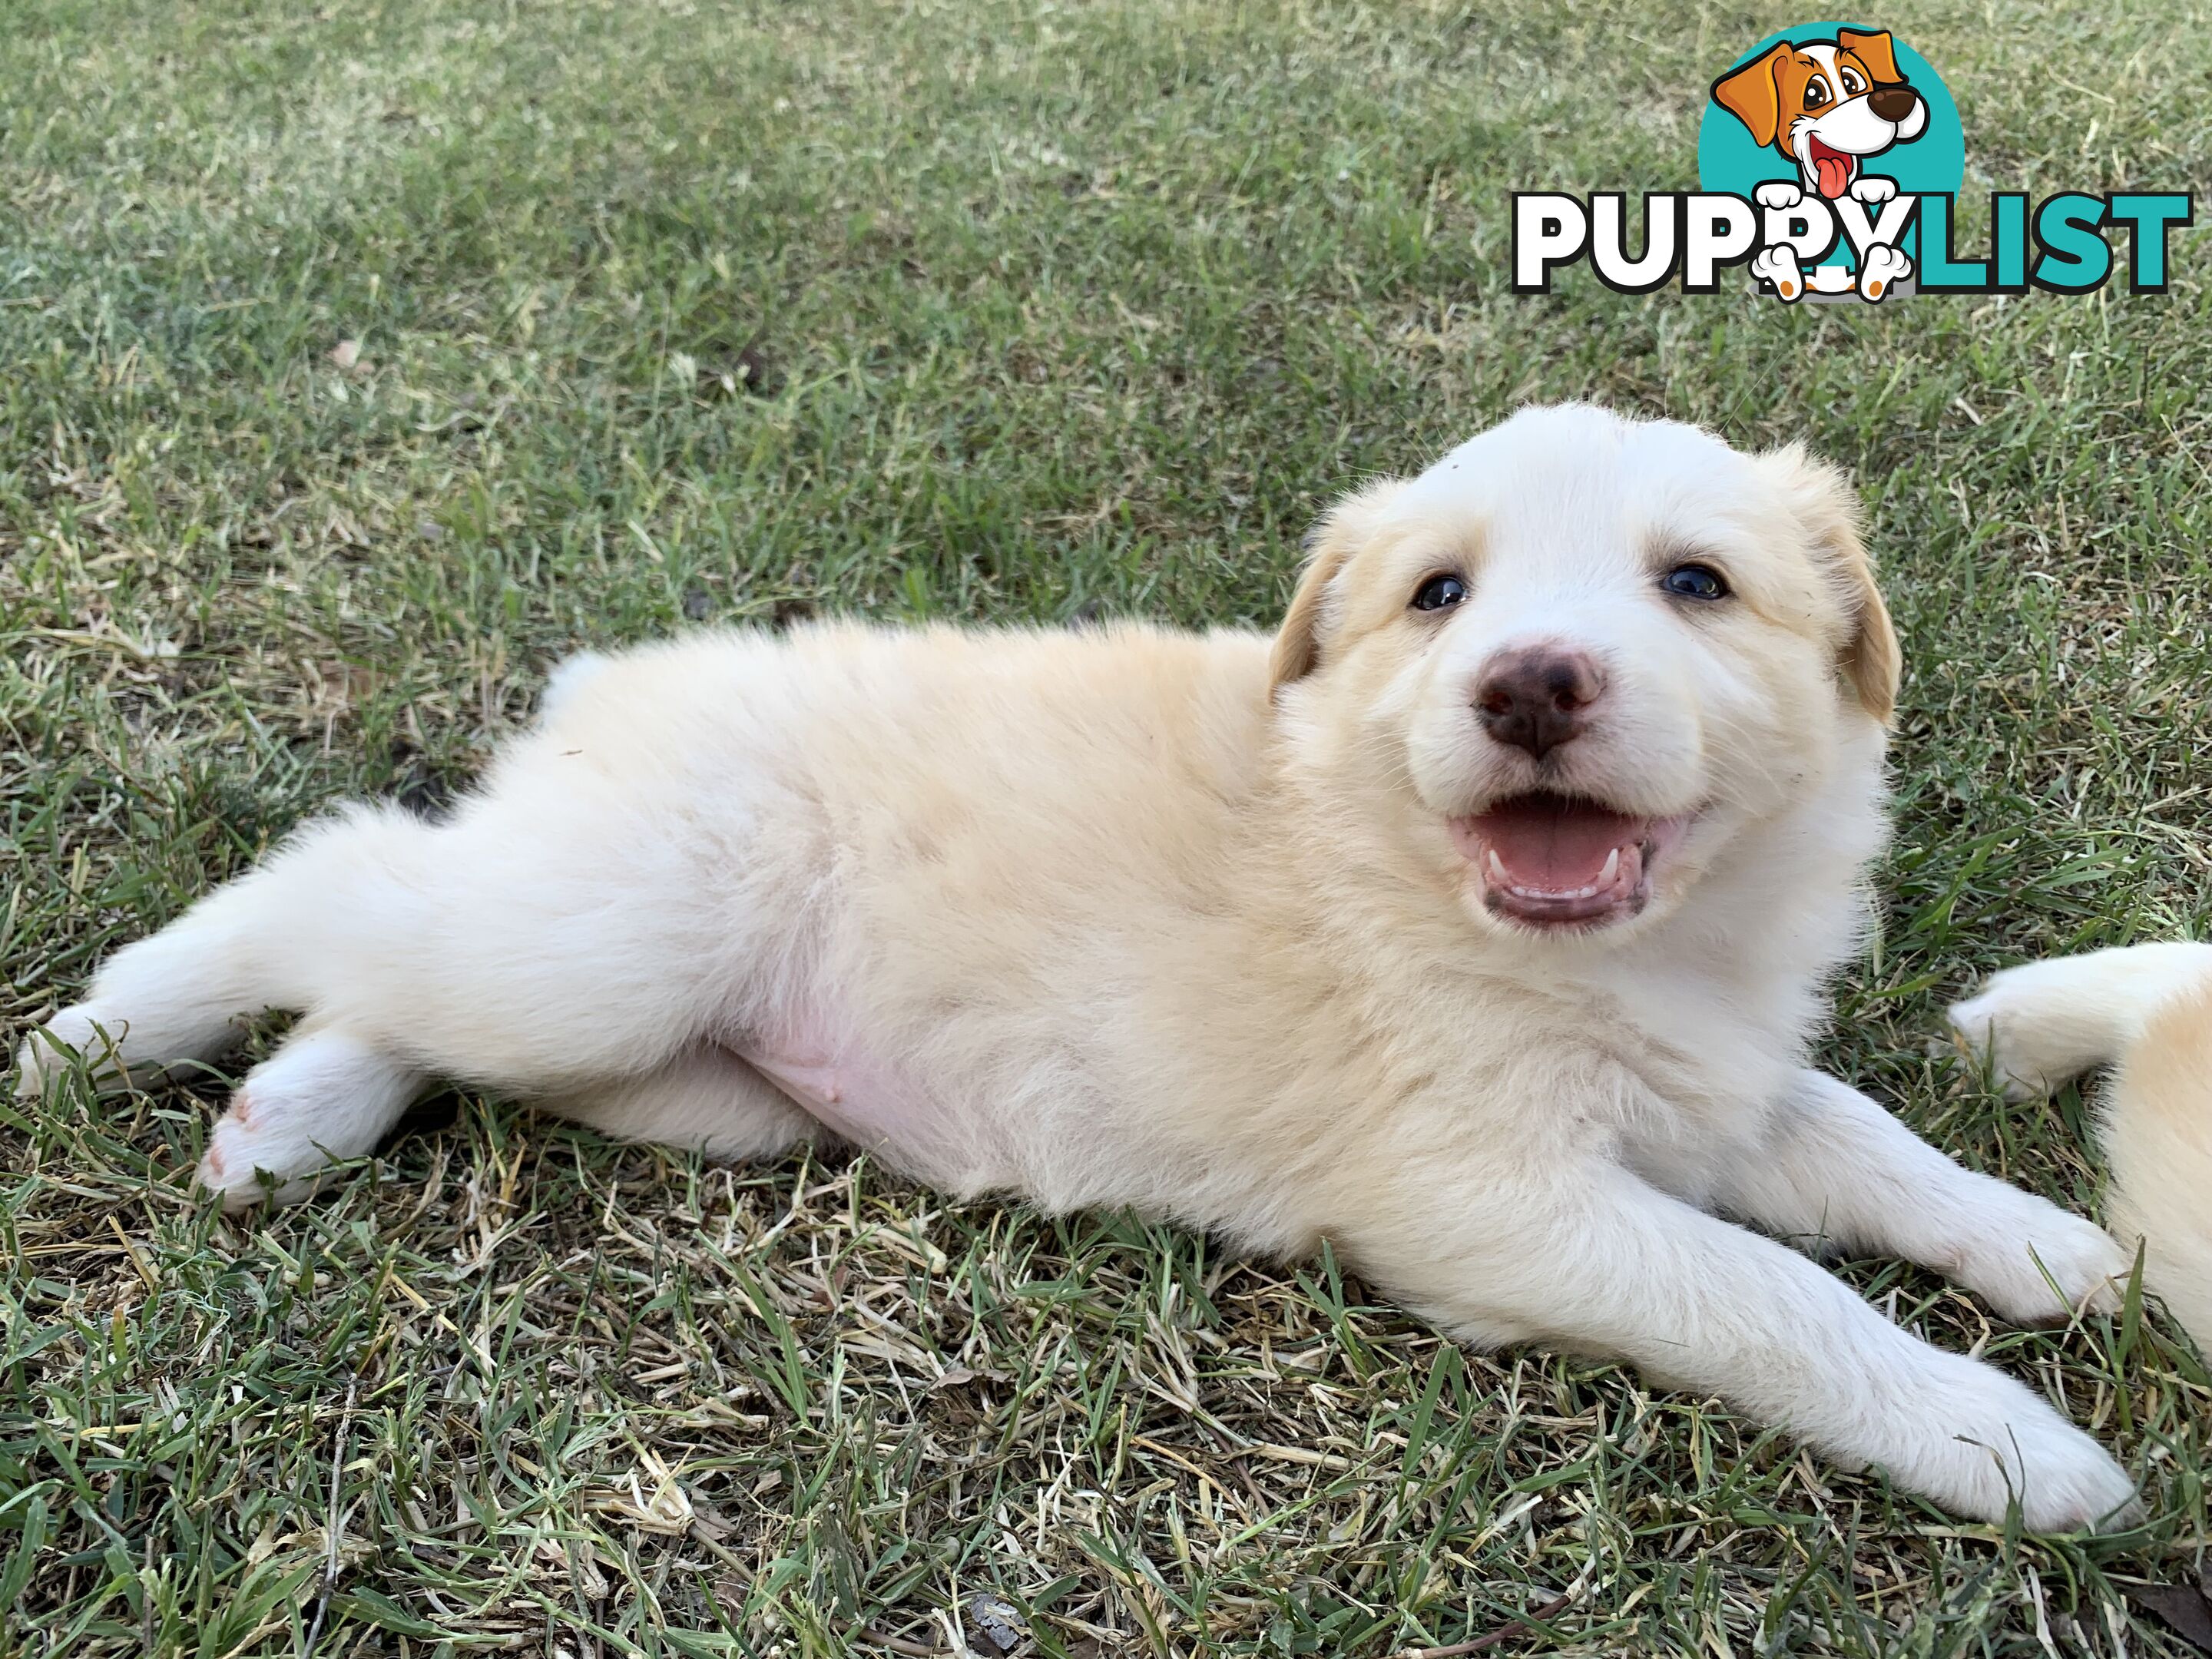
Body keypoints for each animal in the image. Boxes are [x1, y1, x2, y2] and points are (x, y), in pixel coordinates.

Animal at [8, 406, 2132, 1530]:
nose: (1527, 682)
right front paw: (2015, 1446)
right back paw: (109, 1026)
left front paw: (2053, 1248)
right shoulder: (1494, 1201)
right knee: (341, 874)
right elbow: (1778, 1299)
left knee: (403, 964)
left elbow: (1857, 1143)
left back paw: (287, 1115)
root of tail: (604, 691)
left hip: (684, 1065)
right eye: (1436, 595)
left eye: (1697, 584)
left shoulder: (1715, 1088)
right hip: (615, 935)